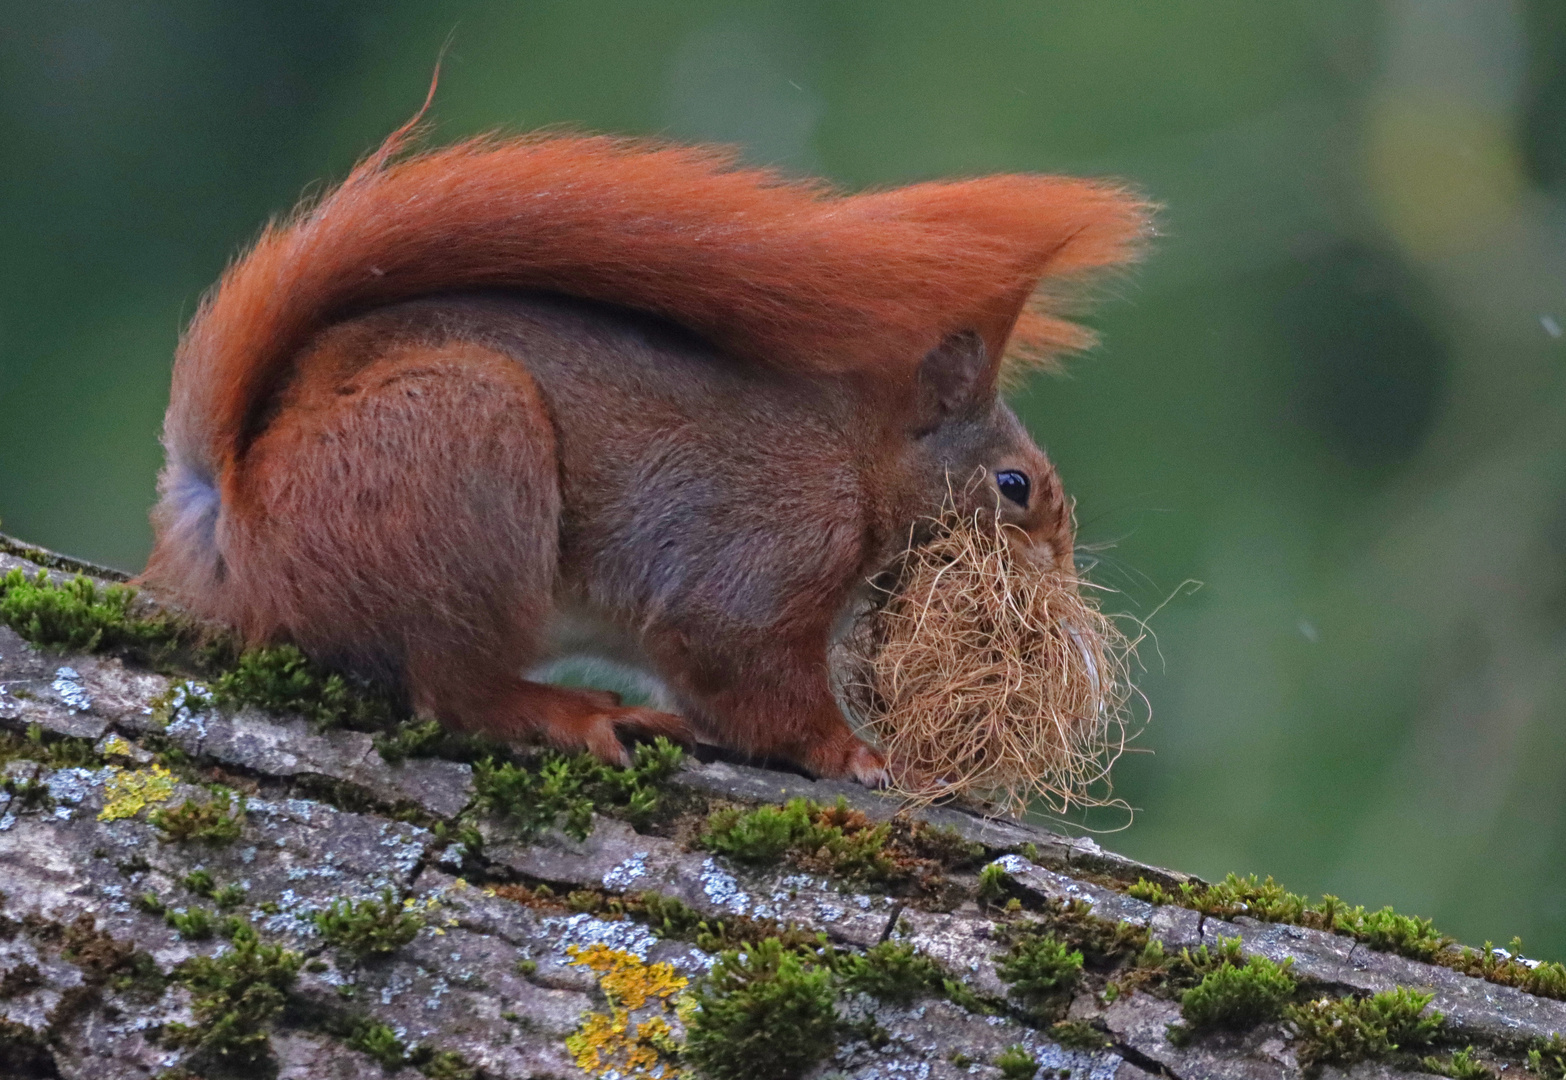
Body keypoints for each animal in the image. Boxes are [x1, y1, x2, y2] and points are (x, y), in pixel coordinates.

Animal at [140, 124, 1146, 782]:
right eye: (1014, 485)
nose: (1061, 569)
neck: (854, 461)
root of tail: (235, 508)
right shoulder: (767, 550)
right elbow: (742, 667)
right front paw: (857, 754)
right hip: (466, 450)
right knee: (456, 690)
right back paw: (573, 711)